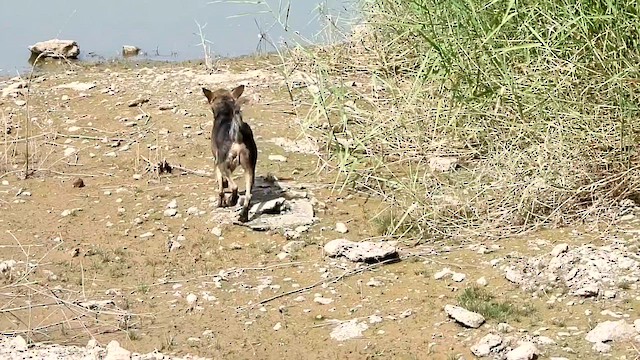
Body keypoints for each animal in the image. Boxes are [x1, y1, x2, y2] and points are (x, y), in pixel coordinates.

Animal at [202, 86, 258, 224]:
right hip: (249, 168)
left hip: (222, 164)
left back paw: (231, 201)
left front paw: (220, 202)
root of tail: (237, 135)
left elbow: (221, 189)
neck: (225, 113)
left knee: (235, 187)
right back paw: (243, 216)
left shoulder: (216, 163)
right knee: (248, 195)